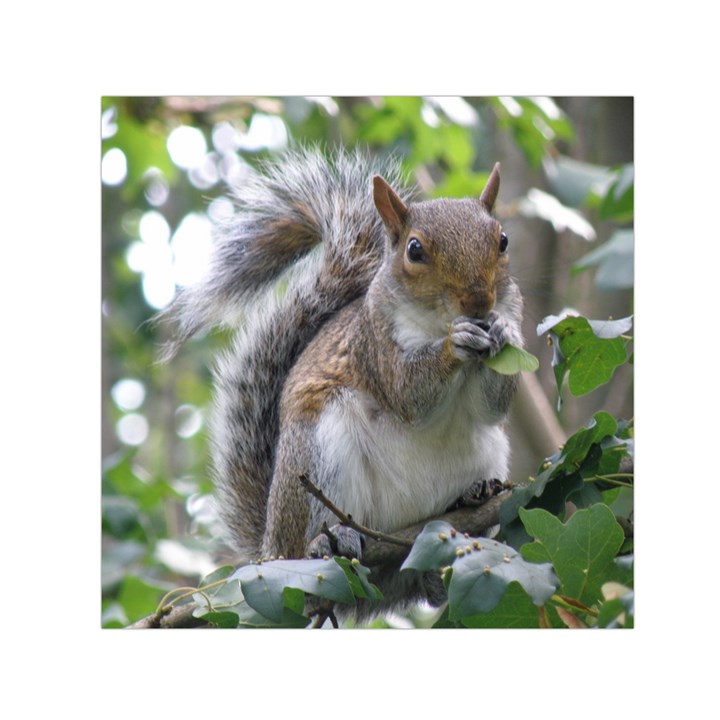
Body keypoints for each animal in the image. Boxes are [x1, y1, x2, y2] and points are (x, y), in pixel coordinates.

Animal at [162, 149, 524, 612]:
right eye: (415, 250)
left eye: (503, 240)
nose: (479, 302)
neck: (436, 322)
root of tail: (267, 550)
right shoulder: (373, 347)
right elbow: (409, 393)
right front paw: (453, 344)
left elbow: (490, 405)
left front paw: (505, 333)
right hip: (317, 453)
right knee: (311, 535)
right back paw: (327, 542)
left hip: (488, 455)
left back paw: (470, 506)